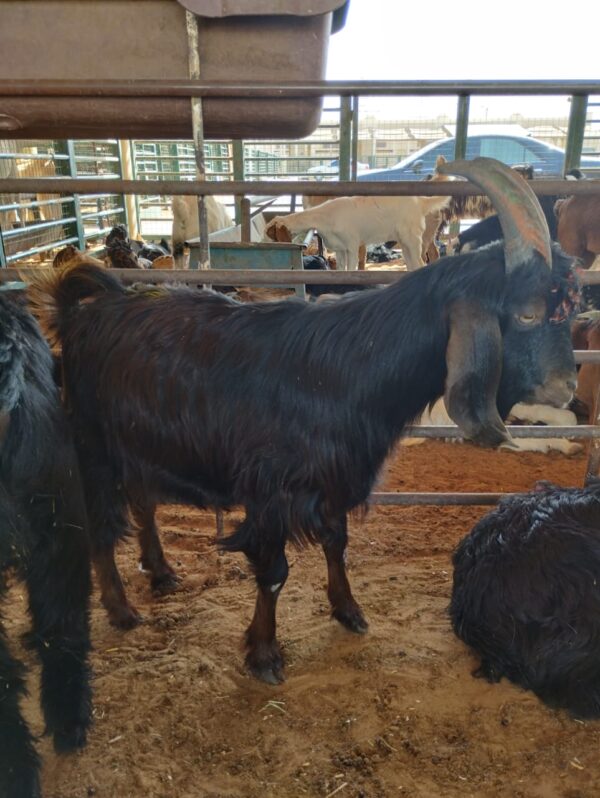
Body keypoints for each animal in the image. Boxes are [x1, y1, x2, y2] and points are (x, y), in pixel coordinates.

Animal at [264, 194, 452, 270]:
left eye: (272, 233)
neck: (325, 216)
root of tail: (421, 201)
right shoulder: (339, 249)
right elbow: (341, 270)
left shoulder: (352, 246)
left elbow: (351, 269)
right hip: (405, 243)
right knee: (413, 264)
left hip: (413, 239)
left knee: (421, 262)